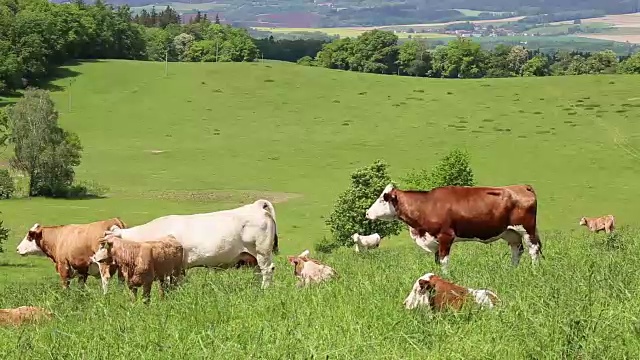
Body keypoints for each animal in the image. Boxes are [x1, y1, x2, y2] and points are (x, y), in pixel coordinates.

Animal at [104, 198, 278, 288]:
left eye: (107, 243)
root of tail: (257, 206)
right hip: (252, 256)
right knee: (259, 271)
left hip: (262, 251)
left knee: (267, 270)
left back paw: (263, 290)